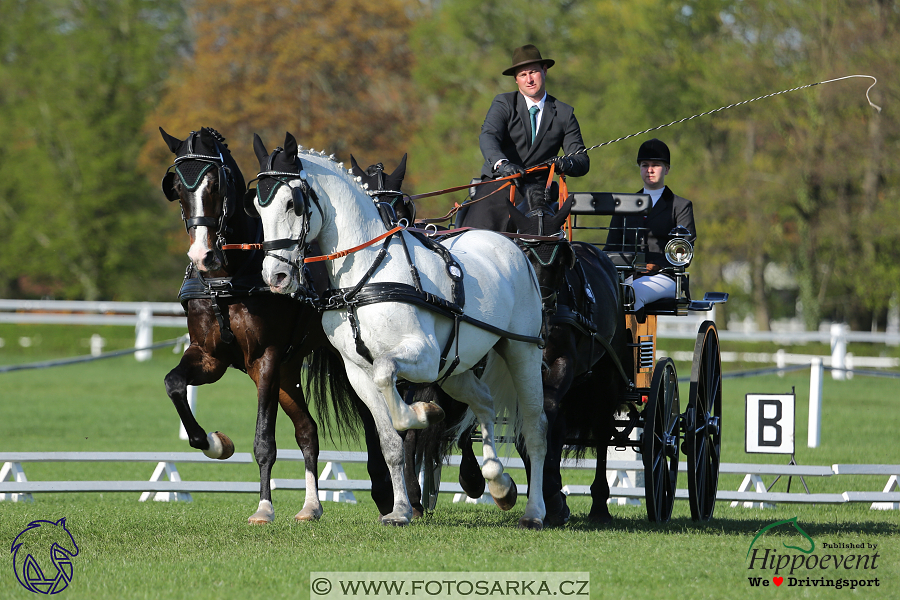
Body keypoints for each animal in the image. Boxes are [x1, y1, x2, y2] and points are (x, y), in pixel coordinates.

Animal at [160, 127, 374, 524]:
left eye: (216, 184)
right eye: (178, 188)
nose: (202, 256)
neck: (227, 281)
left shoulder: (265, 359)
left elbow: (264, 440)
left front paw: (263, 507)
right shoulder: (210, 357)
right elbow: (174, 384)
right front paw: (215, 443)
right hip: (289, 371)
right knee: (307, 430)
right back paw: (311, 505)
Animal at [250, 132, 552, 528]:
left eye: (293, 204)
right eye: (258, 207)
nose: (276, 276)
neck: (368, 274)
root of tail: (511, 245)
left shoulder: (421, 357)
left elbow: (389, 383)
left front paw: (424, 413)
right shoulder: (356, 371)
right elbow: (390, 441)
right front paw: (400, 510)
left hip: (522, 351)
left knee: (535, 428)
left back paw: (535, 511)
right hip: (455, 368)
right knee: (484, 403)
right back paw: (498, 483)